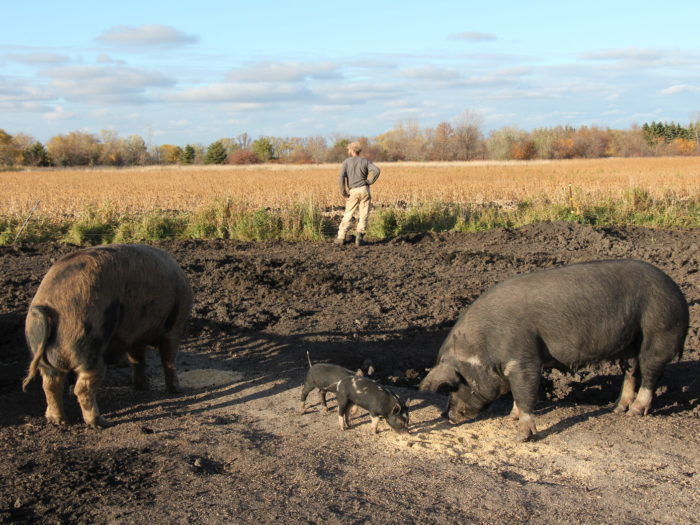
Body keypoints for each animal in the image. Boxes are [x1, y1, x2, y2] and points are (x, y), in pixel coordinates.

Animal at [22, 244, 191, 428]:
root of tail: (48, 308)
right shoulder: (174, 327)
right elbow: (169, 360)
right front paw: (177, 390)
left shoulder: (134, 337)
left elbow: (138, 360)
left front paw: (141, 387)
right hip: (89, 346)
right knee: (82, 388)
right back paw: (100, 423)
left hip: (43, 358)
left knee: (50, 385)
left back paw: (58, 421)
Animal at [418, 260, 688, 440]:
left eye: (456, 384)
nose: (448, 416)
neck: (484, 349)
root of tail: (678, 293)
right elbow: (517, 395)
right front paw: (510, 418)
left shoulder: (524, 360)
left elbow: (525, 393)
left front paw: (521, 436)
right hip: (630, 342)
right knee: (631, 370)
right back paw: (617, 408)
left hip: (659, 332)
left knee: (651, 373)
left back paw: (635, 412)